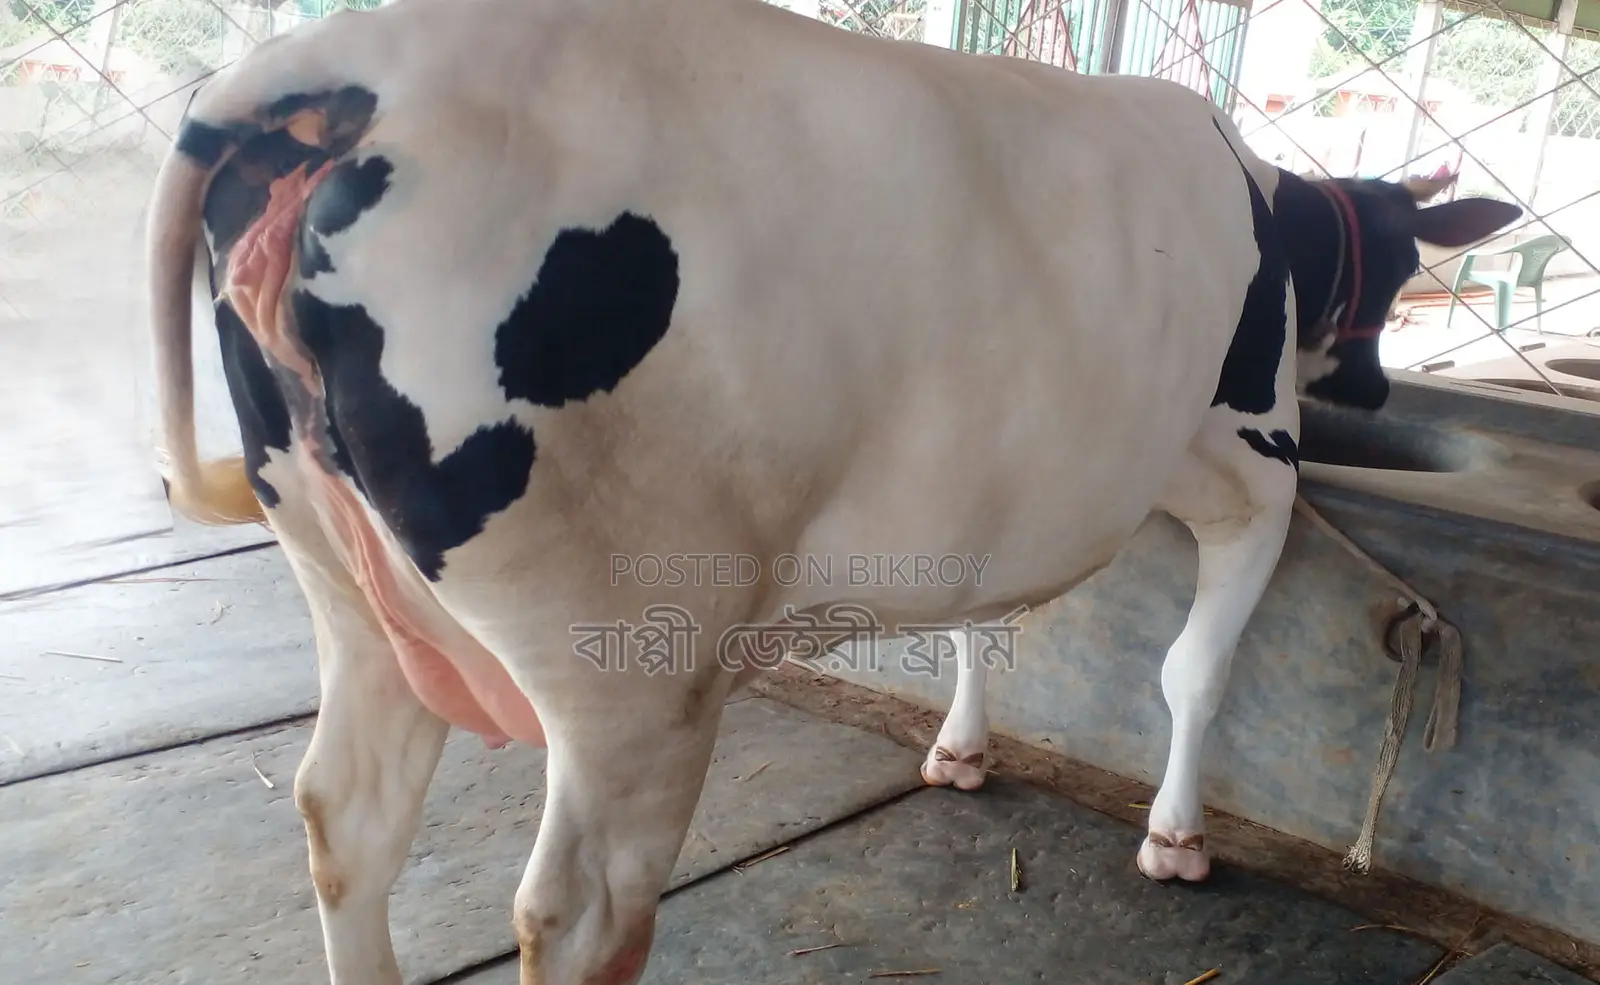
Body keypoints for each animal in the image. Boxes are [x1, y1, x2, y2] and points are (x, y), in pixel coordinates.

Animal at [142, 0, 1522, 981]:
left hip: (347, 588)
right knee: (579, 912)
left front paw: (959, 749)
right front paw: (1175, 837)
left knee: (345, 820)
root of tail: (342, 58)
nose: (1378, 390)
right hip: (631, 666)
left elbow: (986, 625)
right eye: (1399, 267)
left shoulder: (1006, 481)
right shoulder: (1253, 471)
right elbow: (1192, 672)